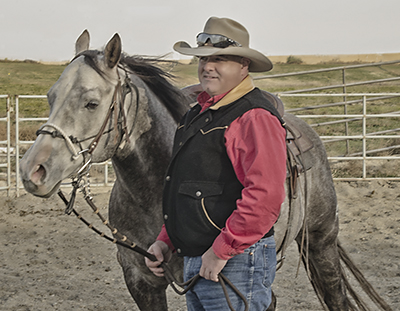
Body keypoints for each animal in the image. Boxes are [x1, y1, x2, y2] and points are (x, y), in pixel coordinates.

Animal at [18, 29, 390, 311]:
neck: (152, 193)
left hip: (321, 242)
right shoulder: (141, 282)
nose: (33, 170)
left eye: (91, 103)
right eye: (51, 97)